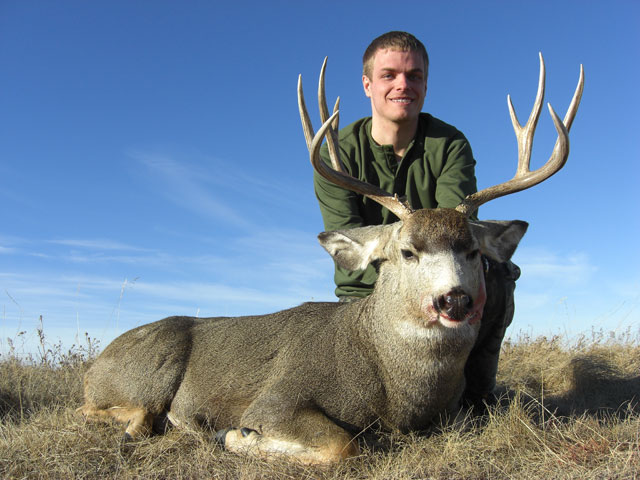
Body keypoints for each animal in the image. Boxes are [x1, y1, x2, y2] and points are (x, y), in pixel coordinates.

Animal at [77, 54, 583, 465]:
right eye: (406, 251)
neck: (393, 385)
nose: (454, 300)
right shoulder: (276, 400)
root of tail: (95, 364)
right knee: (109, 410)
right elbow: (344, 444)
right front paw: (236, 436)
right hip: (149, 374)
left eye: (473, 251)